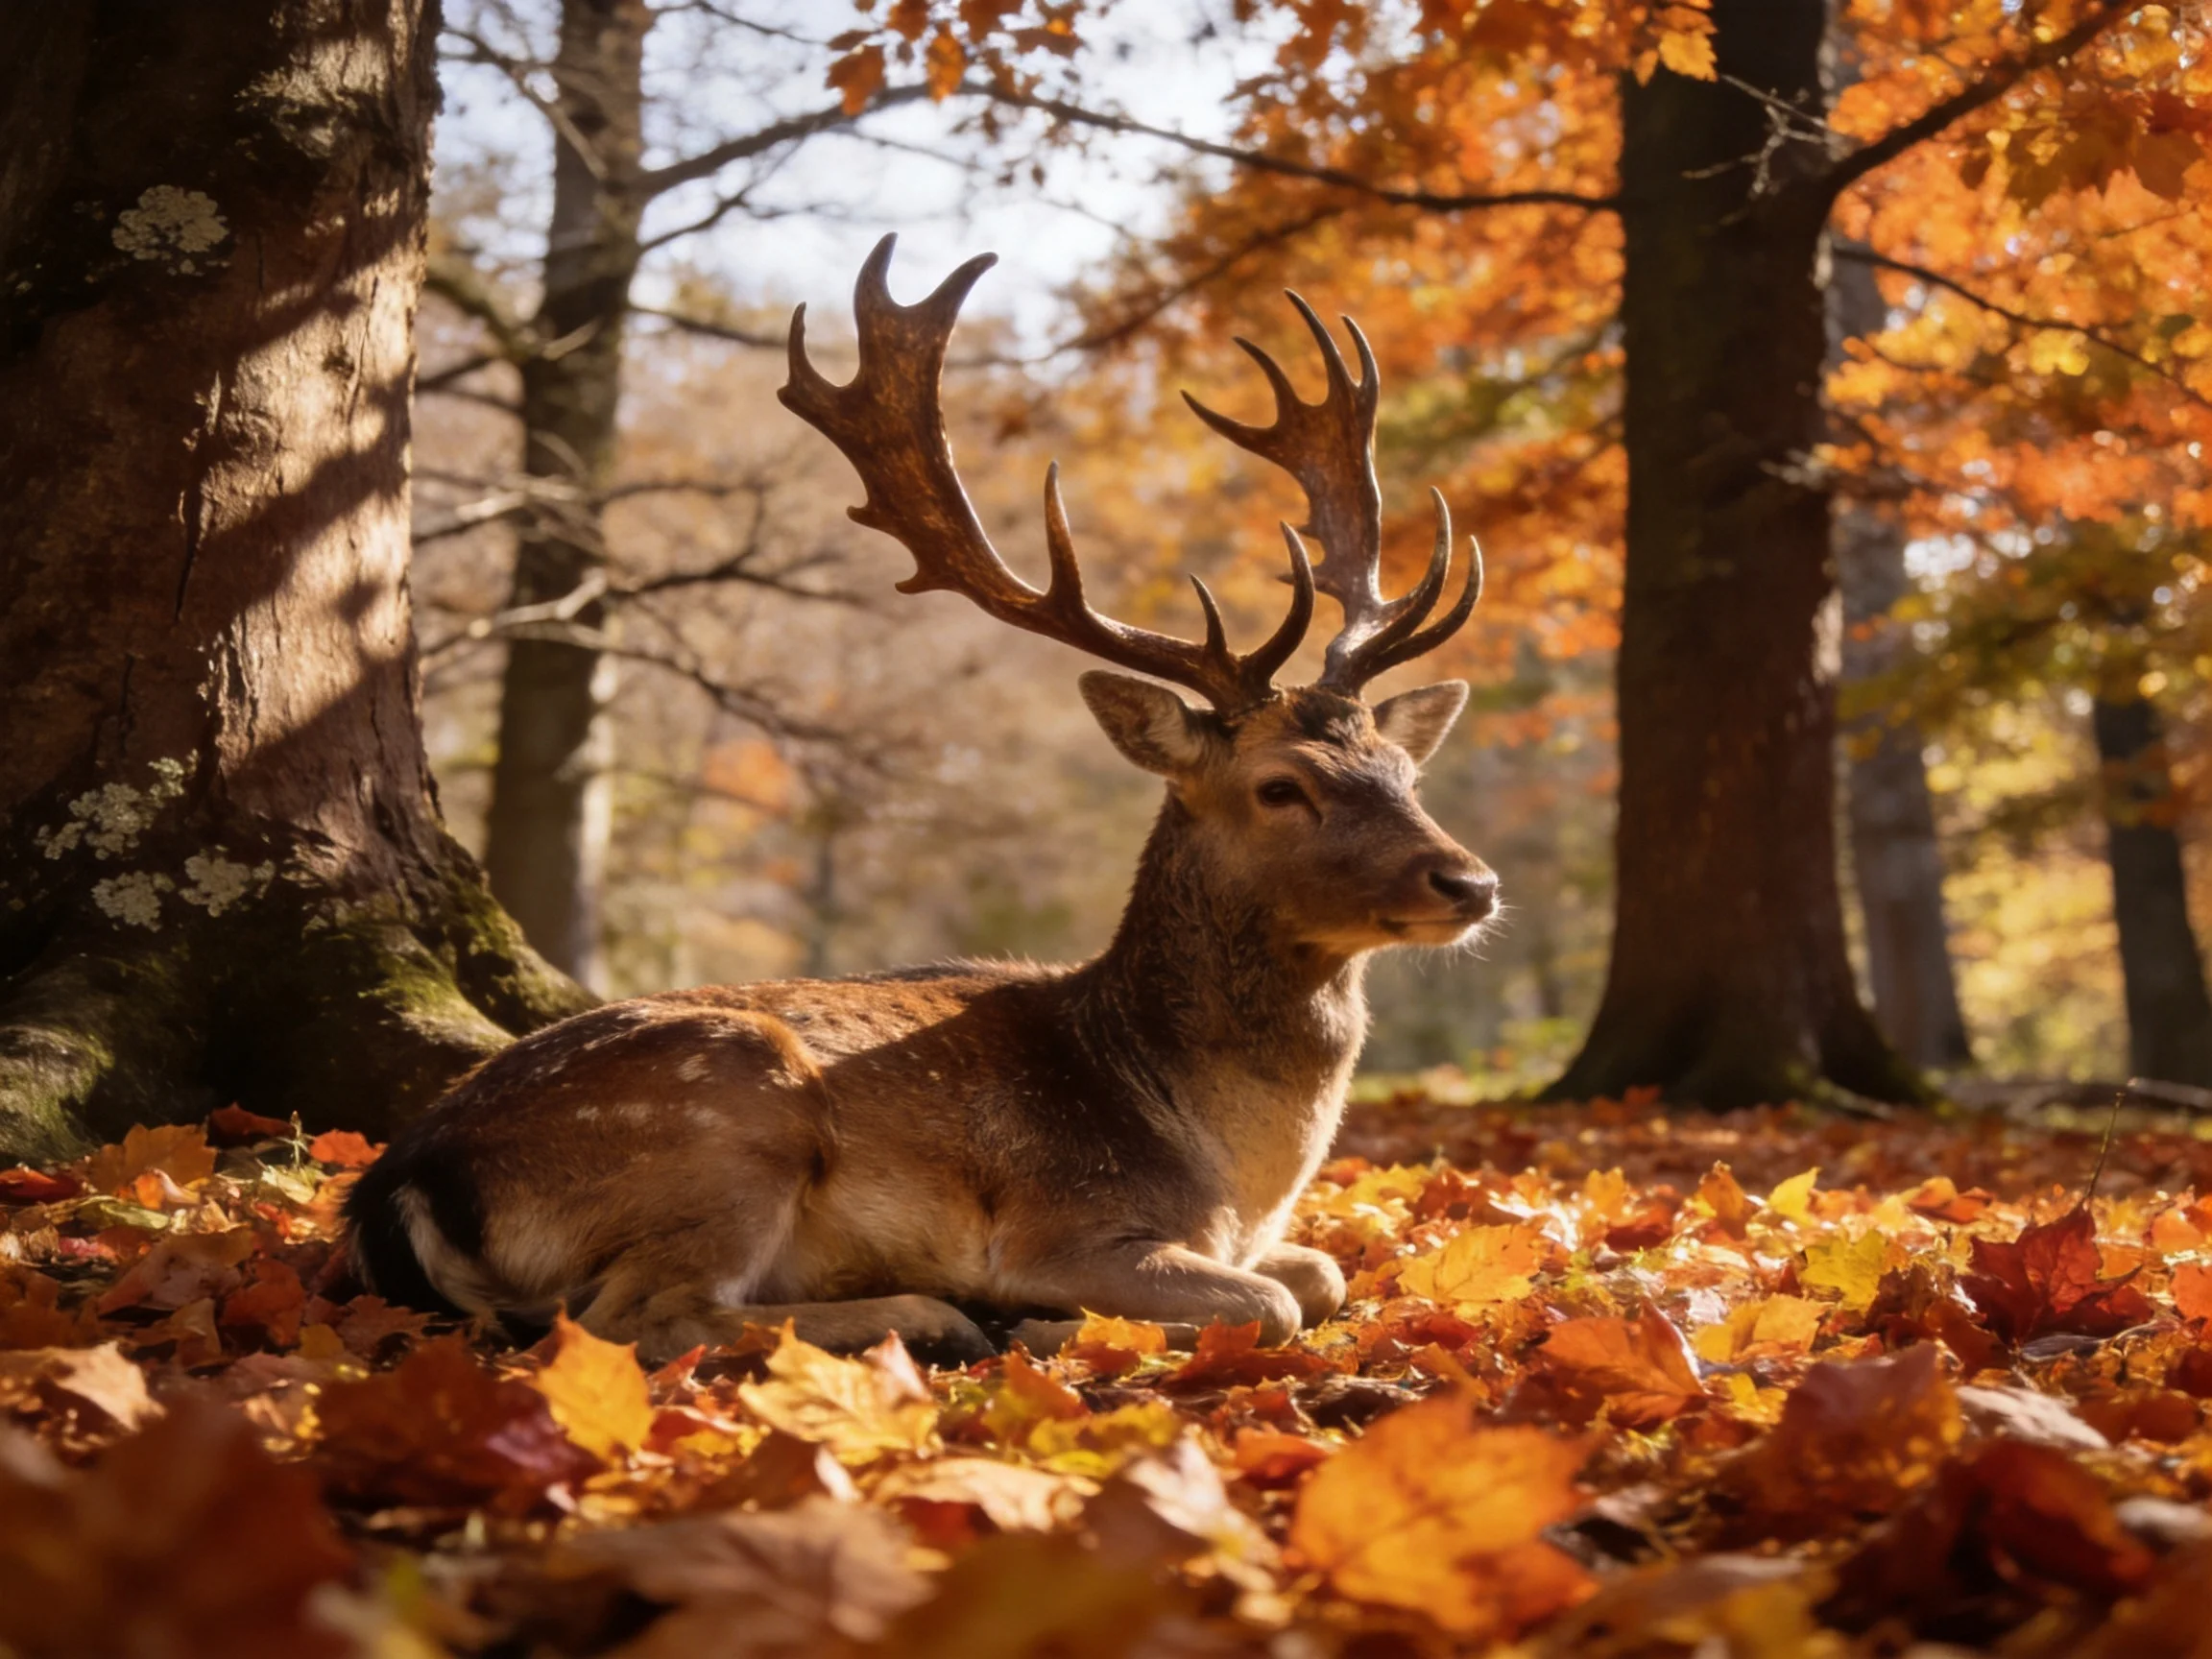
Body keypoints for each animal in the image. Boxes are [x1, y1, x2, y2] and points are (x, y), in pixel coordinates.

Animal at [345, 237, 1497, 1365]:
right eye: (1280, 786)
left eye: (1406, 773)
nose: (1471, 882)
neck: (1226, 1169)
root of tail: (397, 1183)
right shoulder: (1069, 1220)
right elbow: (1272, 1302)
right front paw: (1047, 1319)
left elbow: (1323, 1272)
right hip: (726, 1108)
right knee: (635, 1318)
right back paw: (937, 1318)